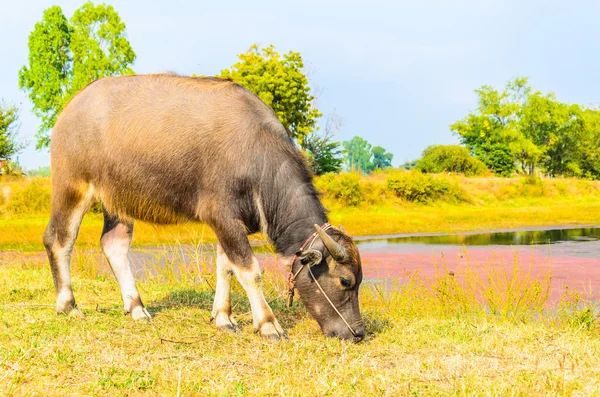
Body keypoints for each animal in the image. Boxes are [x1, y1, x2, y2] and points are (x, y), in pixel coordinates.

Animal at [44, 74, 364, 340]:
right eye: (345, 281)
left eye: (360, 281)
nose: (358, 333)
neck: (256, 156)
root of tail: (70, 109)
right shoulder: (221, 216)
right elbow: (250, 271)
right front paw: (268, 325)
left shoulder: (231, 223)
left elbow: (226, 268)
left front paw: (223, 317)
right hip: (72, 186)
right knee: (59, 240)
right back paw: (68, 305)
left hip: (118, 200)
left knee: (114, 243)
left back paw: (136, 308)